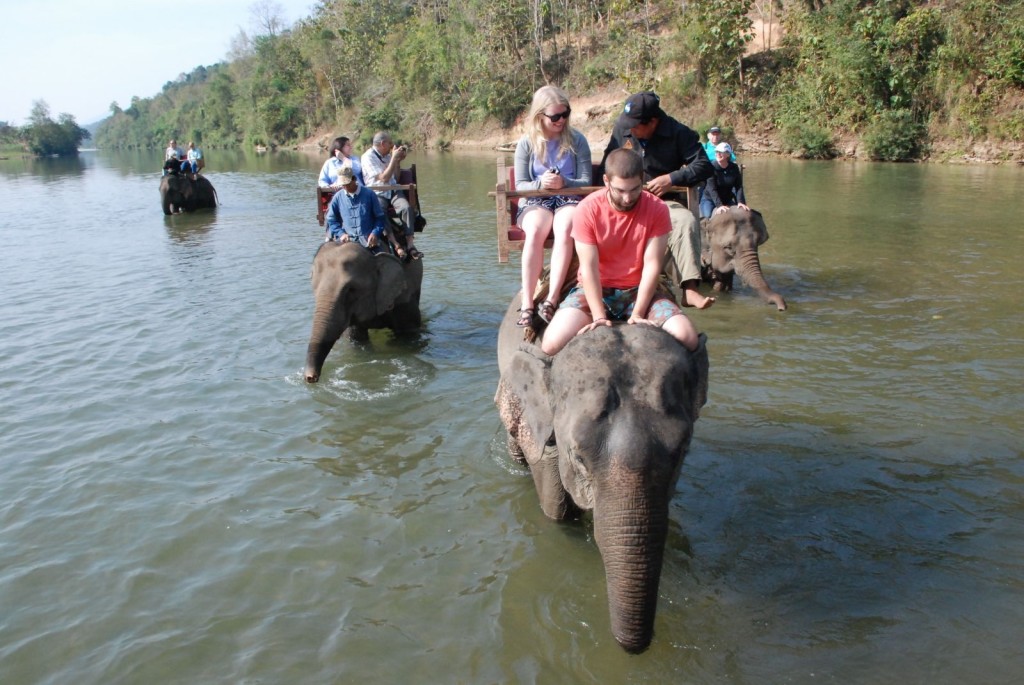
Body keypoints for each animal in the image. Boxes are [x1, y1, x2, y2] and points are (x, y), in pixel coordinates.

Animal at [301, 240, 421, 382]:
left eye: (351, 289)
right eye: (314, 286)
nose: (310, 378)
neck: (373, 256)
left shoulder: (404, 299)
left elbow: (407, 335)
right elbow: (357, 338)